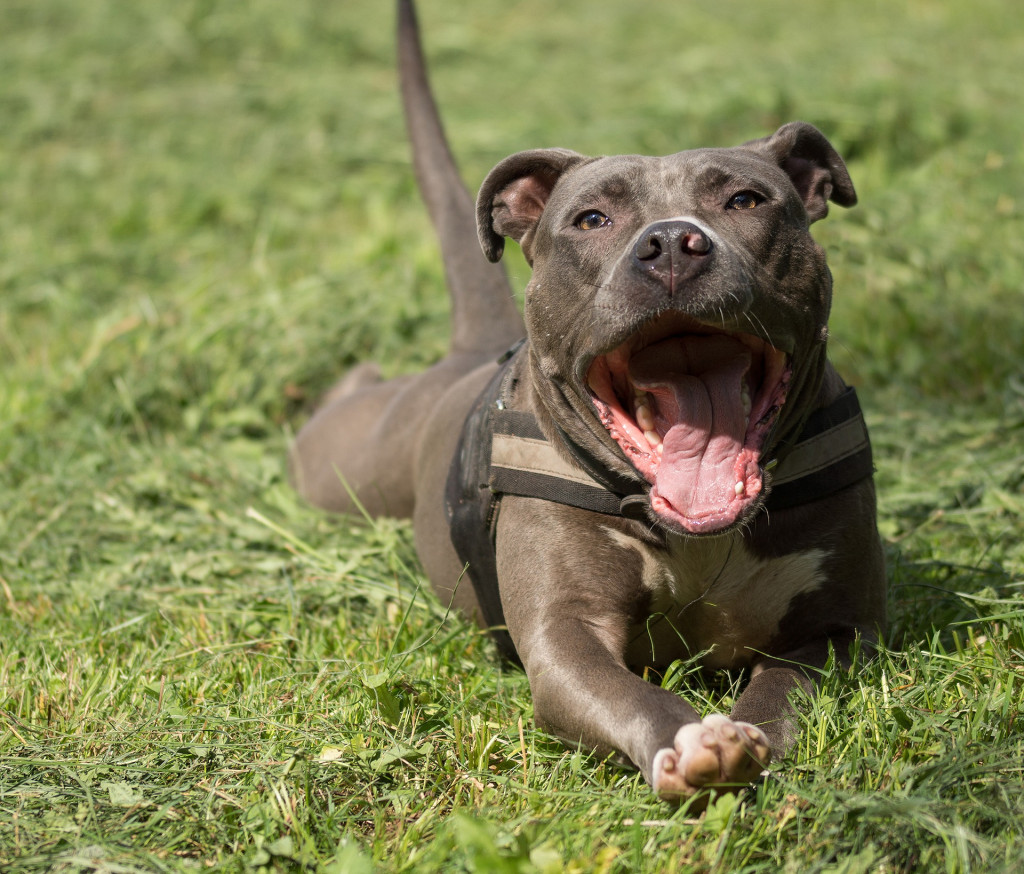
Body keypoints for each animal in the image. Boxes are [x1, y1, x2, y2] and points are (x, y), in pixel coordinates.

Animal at [291, 0, 886, 803]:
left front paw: (746, 734)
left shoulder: (839, 627)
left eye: (746, 200)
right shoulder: (564, 639)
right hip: (343, 466)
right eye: (592, 219)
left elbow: (782, 687)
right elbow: (631, 692)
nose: (672, 244)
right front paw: (690, 741)